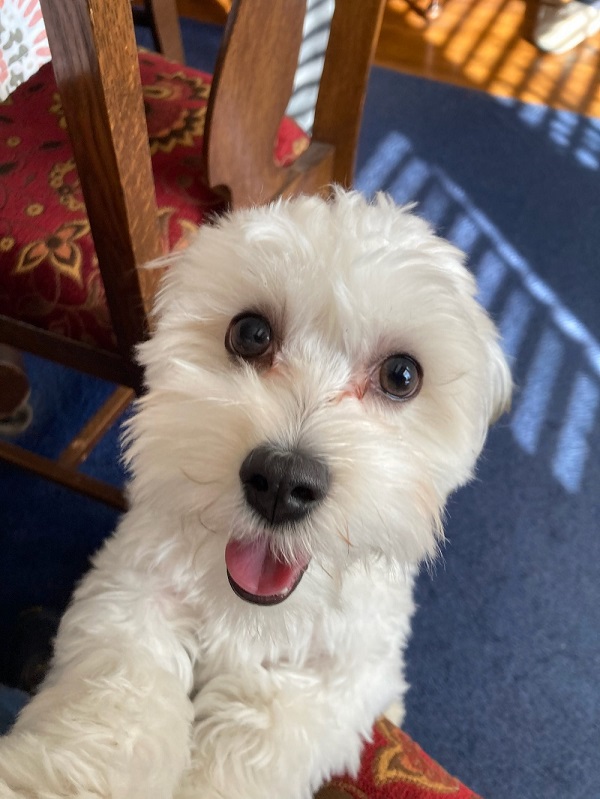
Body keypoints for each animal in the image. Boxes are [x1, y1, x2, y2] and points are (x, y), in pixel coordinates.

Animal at [0, 192, 510, 799]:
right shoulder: (134, 589)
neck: (251, 612)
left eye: (402, 376)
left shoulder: (342, 671)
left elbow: (261, 739)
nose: (283, 482)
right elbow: (116, 705)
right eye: (250, 334)